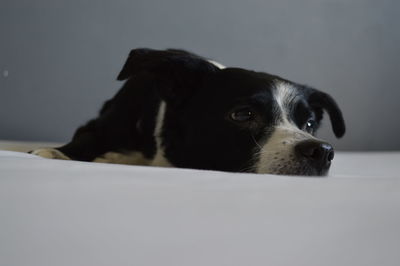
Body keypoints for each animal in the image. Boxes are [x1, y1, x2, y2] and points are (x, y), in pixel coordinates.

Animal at [30, 48, 344, 176]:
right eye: (243, 115)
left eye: (309, 124)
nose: (322, 151)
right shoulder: (104, 123)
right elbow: (85, 138)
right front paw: (55, 152)